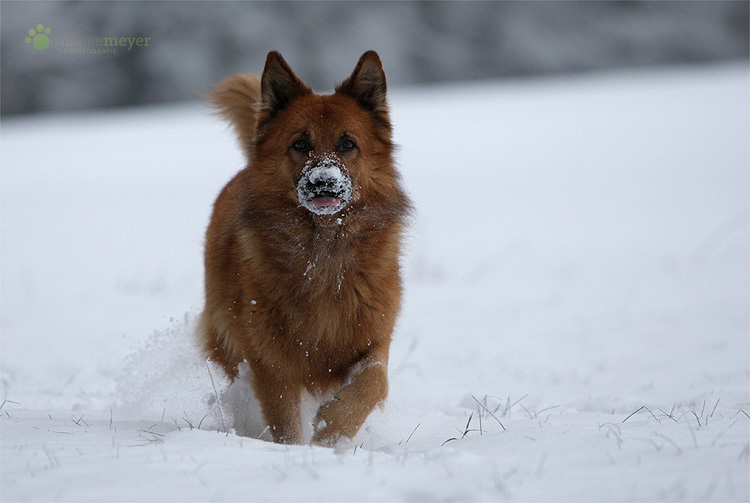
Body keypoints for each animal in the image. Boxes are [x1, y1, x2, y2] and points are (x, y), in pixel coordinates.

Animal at [198, 50, 412, 444]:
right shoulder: (271, 363)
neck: (323, 249)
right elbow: (285, 423)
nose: (322, 182)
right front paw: (298, 450)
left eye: (347, 143)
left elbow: (372, 383)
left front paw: (332, 428)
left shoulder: (374, 338)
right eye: (300, 143)